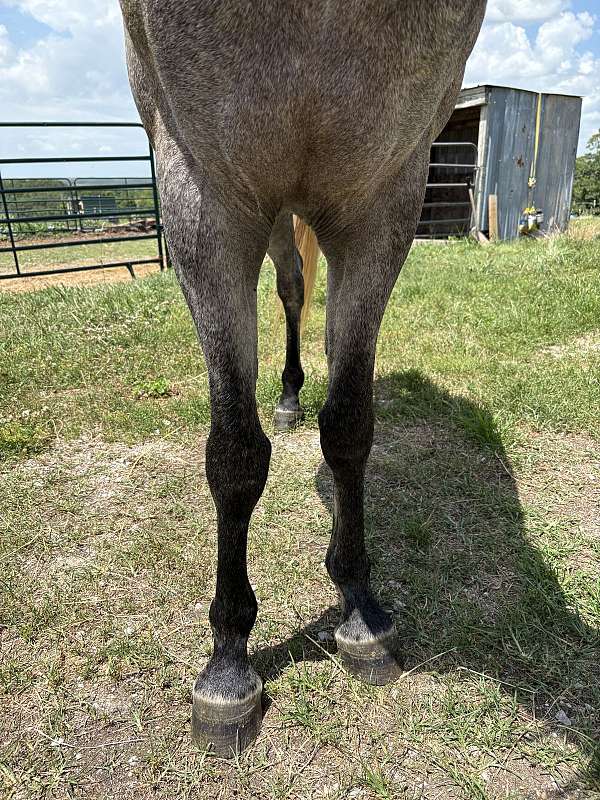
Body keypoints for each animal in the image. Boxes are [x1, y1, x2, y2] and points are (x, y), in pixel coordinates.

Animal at [119, 0, 487, 756]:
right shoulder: (204, 197)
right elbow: (234, 454)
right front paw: (229, 660)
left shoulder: (384, 201)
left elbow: (348, 426)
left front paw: (360, 610)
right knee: (289, 289)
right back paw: (285, 396)